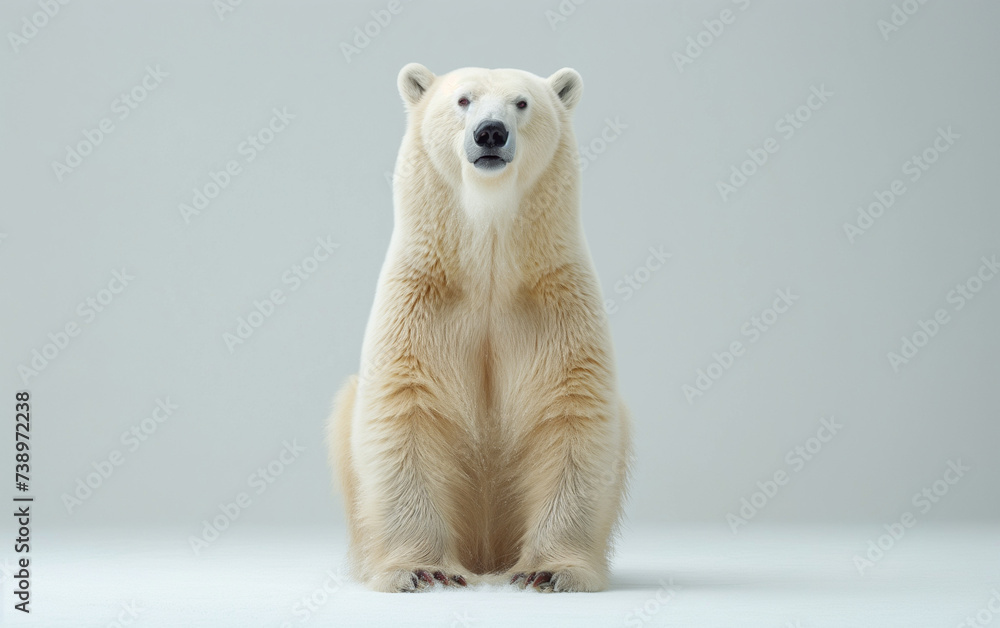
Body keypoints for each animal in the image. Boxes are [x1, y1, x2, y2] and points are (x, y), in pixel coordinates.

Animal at [327, 63, 632, 593]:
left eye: (522, 103)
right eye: (463, 100)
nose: (491, 133)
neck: (489, 256)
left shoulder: (553, 302)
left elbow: (572, 411)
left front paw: (548, 571)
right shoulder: (424, 298)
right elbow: (405, 409)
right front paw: (424, 569)